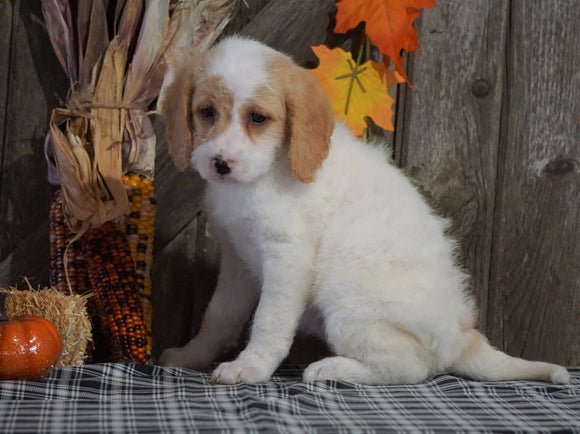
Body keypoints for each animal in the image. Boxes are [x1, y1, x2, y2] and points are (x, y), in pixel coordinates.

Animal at [156, 35, 568, 384]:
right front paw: (191, 355)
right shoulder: (237, 261)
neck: (261, 177)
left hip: (347, 307)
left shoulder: (286, 260)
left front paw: (251, 367)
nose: (221, 163)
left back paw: (331, 369)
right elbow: (219, 316)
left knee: (413, 369)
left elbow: (269, 321)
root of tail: (461, 335)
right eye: (207, 112)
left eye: (257, 118)